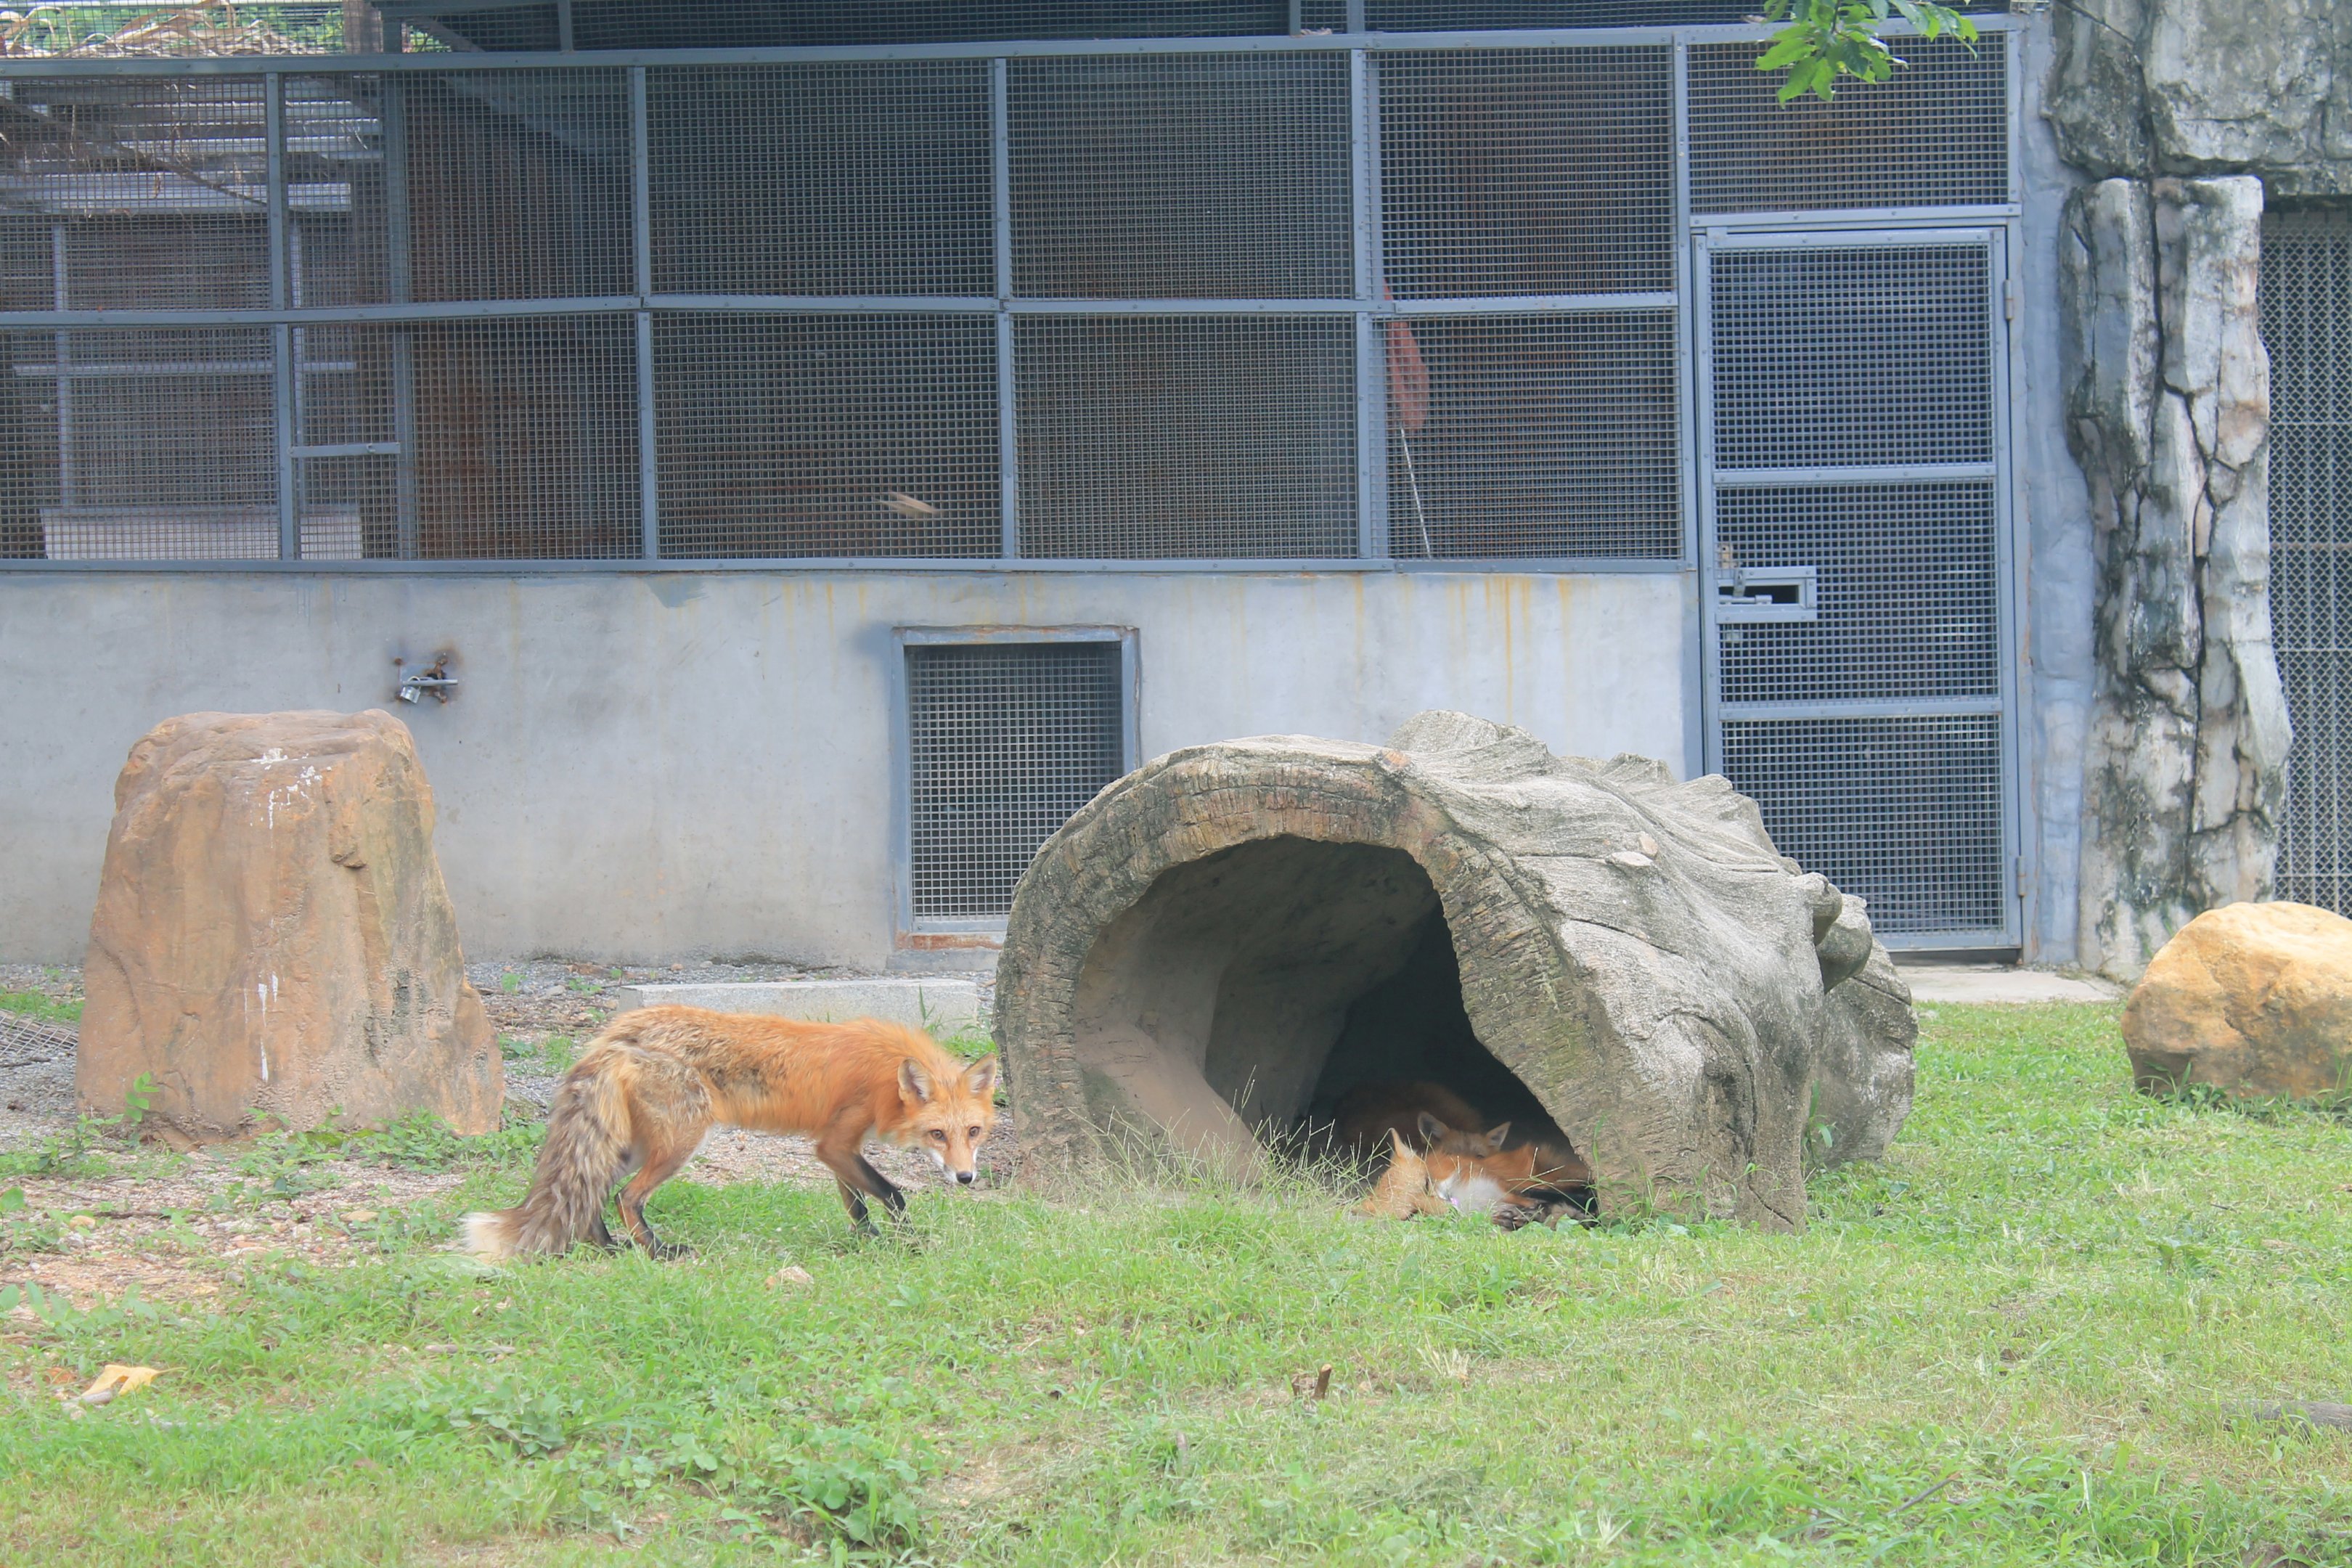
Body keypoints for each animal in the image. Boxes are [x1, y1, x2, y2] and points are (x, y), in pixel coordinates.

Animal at [460, 1006, 999, 1260]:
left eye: (974, 1132)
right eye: (937, 1135)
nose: (966, 1179)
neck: (886, 1075)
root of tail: (615, 1034)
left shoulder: (836, 1147)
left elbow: (857, 1203)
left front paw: (866, 1241)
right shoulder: (836, 1142)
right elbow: (892, 1195)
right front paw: (909, 1245)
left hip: (631, 1145)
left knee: (593, 1193)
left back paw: (608, 1248)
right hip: (678, 1143)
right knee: (625, 1197)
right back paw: (657, 1253)